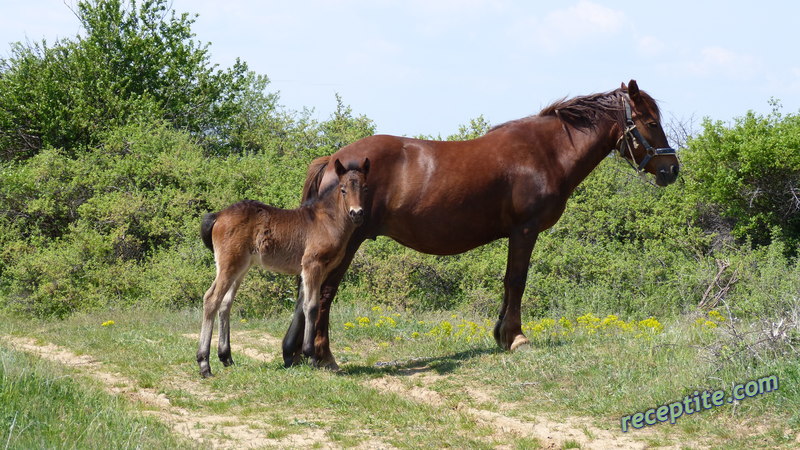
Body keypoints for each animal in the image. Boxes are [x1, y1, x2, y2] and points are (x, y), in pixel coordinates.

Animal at [284, 81, 680, 370]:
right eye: (651, 122)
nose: (671, 169)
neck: (546, 152)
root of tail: (333, 160)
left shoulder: (516, 234)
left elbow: (507, 282)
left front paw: (501, 335)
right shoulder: (525, 230)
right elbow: (517, 281)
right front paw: (516, 337)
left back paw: (294, 352)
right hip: (349, 243)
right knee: (325, 291)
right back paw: (323, 357)